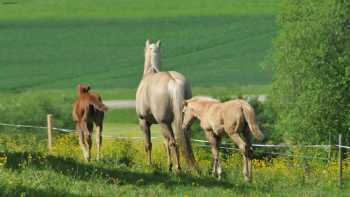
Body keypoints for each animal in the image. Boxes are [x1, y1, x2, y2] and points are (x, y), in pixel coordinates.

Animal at [135, 39, 196, 171]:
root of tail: (173, 81)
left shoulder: (144, 122)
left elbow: (148, 144)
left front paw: (149, 164)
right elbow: (164, 143)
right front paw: (169, 164)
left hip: (164, 123)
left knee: (173, 142)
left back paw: (178, 168)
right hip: (180, 122)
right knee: (182, 141)